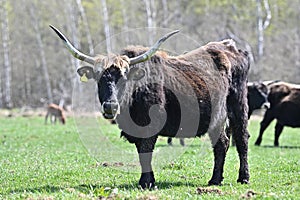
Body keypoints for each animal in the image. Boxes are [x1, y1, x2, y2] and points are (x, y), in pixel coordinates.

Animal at [51, 25, 251, 188]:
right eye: (99, 78)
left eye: (123, 77)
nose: (110, 106)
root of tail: (230, 47)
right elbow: (141, 153)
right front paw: (147, 180)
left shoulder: (150, 126)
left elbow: (146, 151)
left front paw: (147, 182)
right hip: (217, 119)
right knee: (222, 143)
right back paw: (216, 179)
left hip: (238, 108)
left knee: (241, 140)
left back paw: (243, 177)